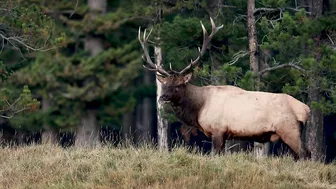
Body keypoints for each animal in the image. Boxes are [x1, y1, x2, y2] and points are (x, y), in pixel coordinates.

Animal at [138, 18, 312, 159]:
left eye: (179, 85)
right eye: (165, 84)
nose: (163, 97)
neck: (199, 108)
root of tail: (305, 109)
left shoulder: (218, 130)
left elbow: (215, 155)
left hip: (288, 129)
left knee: (304, 153)